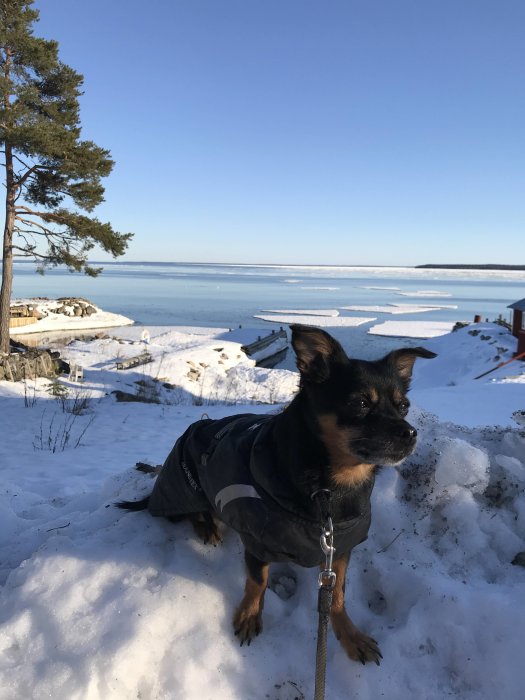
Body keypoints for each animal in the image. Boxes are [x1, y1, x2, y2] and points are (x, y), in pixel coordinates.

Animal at [118, 326, 434, 664]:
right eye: (360, 403)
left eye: (404, 406)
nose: (410, 433)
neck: (330, 490)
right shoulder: (257, 543)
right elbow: (257, 581)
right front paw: (249, 615)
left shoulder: (340, 548)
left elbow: (336, 595)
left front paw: (350, 636)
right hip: (190, 488)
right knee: (193, 511)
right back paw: (208, 528)